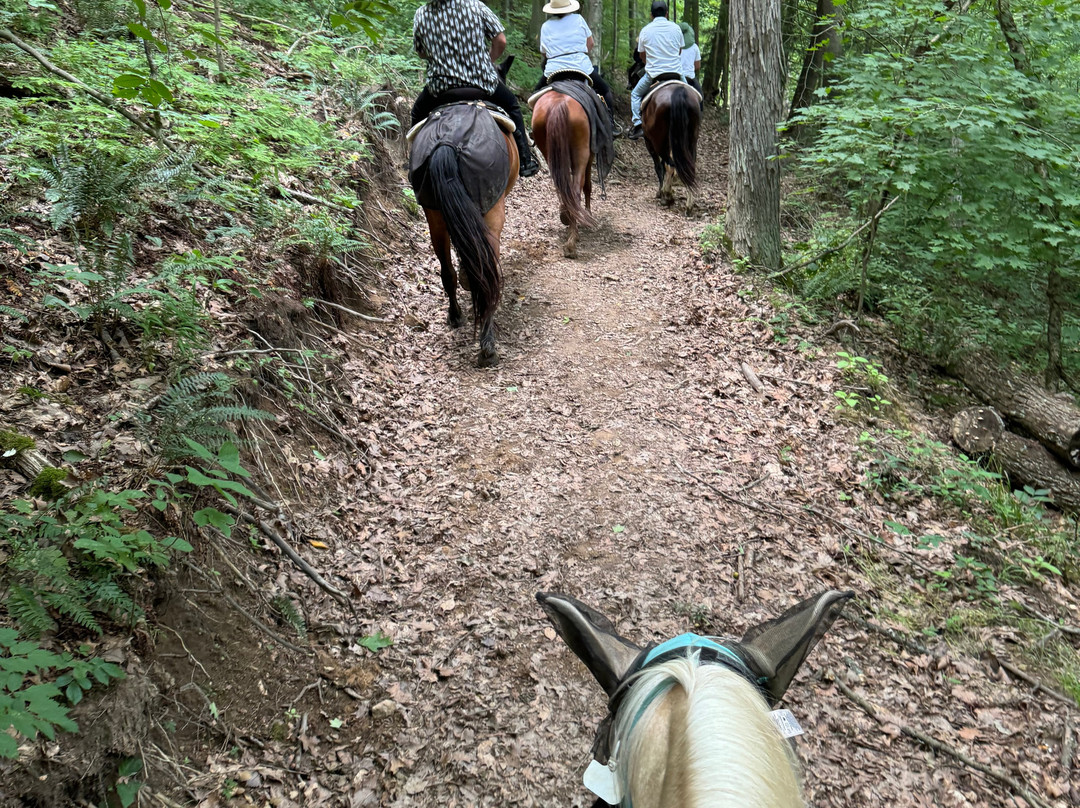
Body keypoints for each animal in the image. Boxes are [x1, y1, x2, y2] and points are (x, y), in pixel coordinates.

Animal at [408, 59, 518, 365]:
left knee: (446, 270)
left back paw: (455, 315)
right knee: (488, 270)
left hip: (434, 213)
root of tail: (447, 140)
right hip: (492, 212)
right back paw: (487, 345)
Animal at [639, 77, 699, 211]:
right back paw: (689, 204)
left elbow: (658, 166)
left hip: (659, 141)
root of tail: (679, 92)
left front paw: (660, 192)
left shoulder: (649, 142)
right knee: (688, 165)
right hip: (691, 140)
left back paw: (667, 196)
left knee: (669, 164)